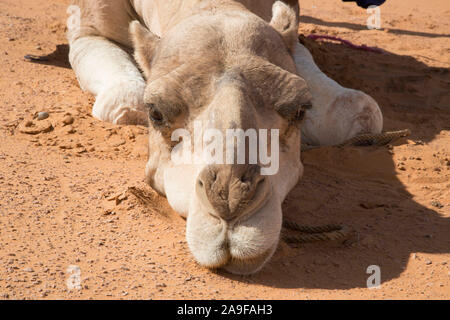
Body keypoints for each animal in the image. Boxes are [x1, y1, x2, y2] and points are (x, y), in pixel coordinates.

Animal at [67, 0, 384, 276]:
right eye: (155, 113)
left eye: (300, 110)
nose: (231, 199)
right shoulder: (87, 31)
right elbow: (124, 102)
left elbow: (363, 111)